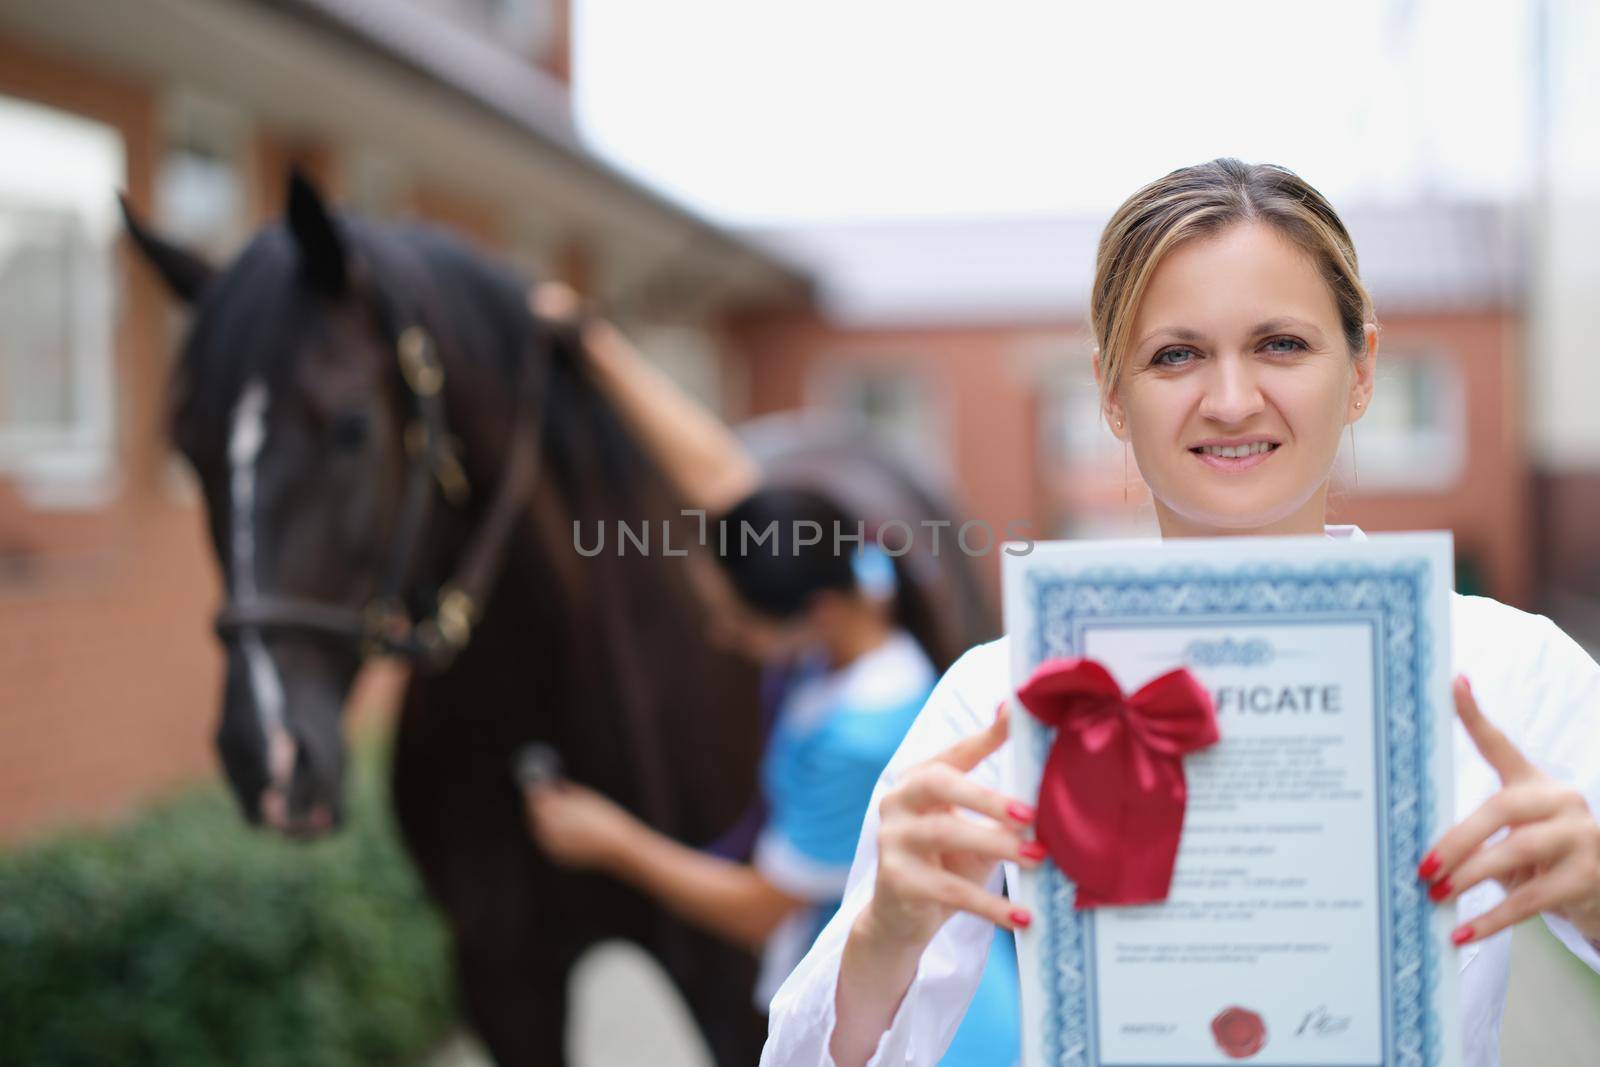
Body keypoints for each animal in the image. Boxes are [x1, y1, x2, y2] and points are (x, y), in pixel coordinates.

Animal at [124, 175, 992, 1067]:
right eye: (186, 444)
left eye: (351, 425)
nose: (267, 752)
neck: (557, 685)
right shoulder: (504, 976)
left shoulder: (729, 981)